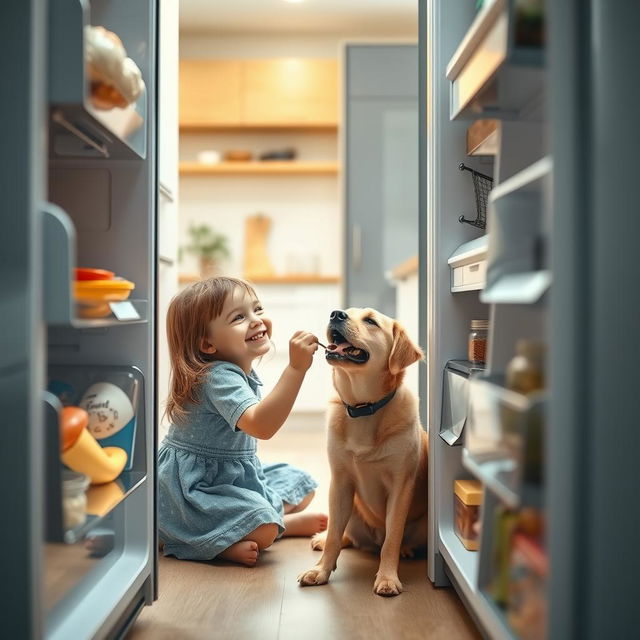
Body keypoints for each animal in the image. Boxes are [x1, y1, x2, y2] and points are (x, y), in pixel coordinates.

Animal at [298, 308, 428, 596]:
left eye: (370, 321)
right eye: (346, 312)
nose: (336, 314)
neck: (363, 407)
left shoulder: (401, 486)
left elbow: (392, 538)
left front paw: (387, 577)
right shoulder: (340, 482)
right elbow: (335, 536)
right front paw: (321, 570)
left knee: (390, 540)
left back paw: (405, 549)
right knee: (343, 535)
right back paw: (322, 539)